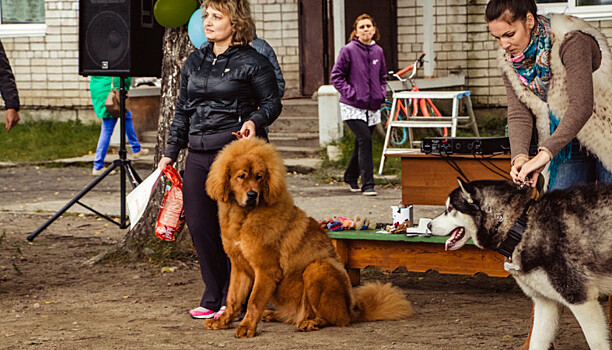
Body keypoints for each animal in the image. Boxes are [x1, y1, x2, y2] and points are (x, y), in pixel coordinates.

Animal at [430, 180, 612, 350]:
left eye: (449, 209)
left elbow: (596, 343)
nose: (429, 225)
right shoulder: (545, 303)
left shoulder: (580, 299)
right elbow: (536, 341)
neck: (520, 226)